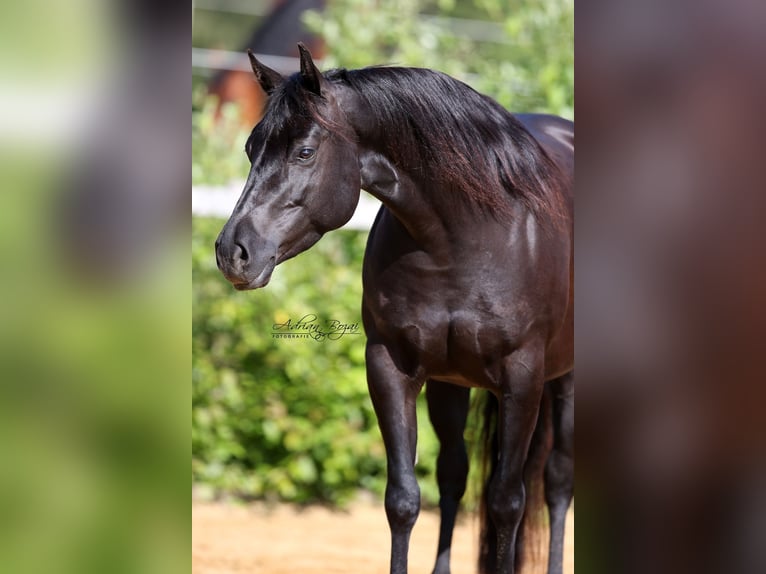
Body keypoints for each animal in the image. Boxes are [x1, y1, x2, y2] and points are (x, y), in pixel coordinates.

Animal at [215, 44, 574, 574]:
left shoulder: (522, 377)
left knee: (556, 482)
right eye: (250, 149)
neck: (465, 237)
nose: (231, 252)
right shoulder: (389, 367)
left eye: (305, 151)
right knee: (454, 475)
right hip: (451, 383)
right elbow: (404, 499)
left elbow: (507, 501)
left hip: (562, 381)